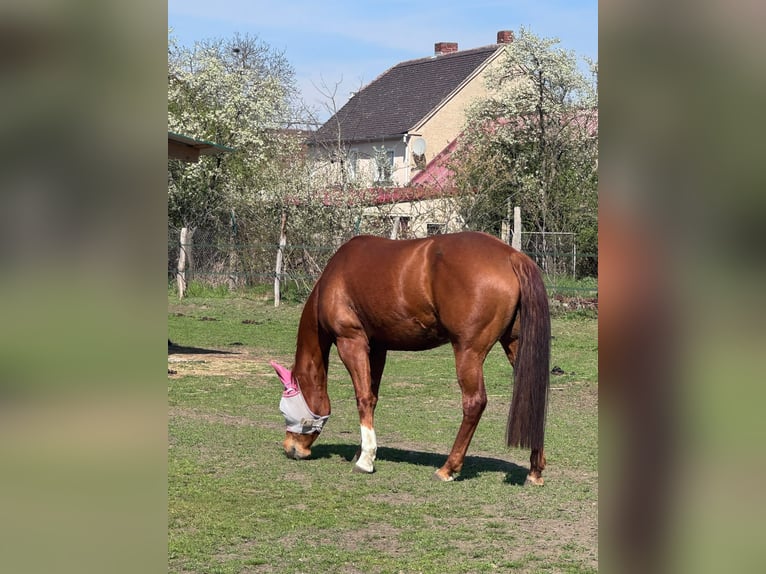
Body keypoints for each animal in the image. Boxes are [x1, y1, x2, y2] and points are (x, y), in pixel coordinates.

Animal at [270, 231, 550, 483]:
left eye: (284, 409)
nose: (291, 448)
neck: (334, 278)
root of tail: (511, 256)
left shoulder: (351, 342)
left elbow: (363, 398)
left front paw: (365, 460)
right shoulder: (377, 348)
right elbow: (373, 396)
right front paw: (364, 451)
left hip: (468, 352)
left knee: (474, 403)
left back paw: (448, 468)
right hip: (515, 345)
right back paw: (535, 470)